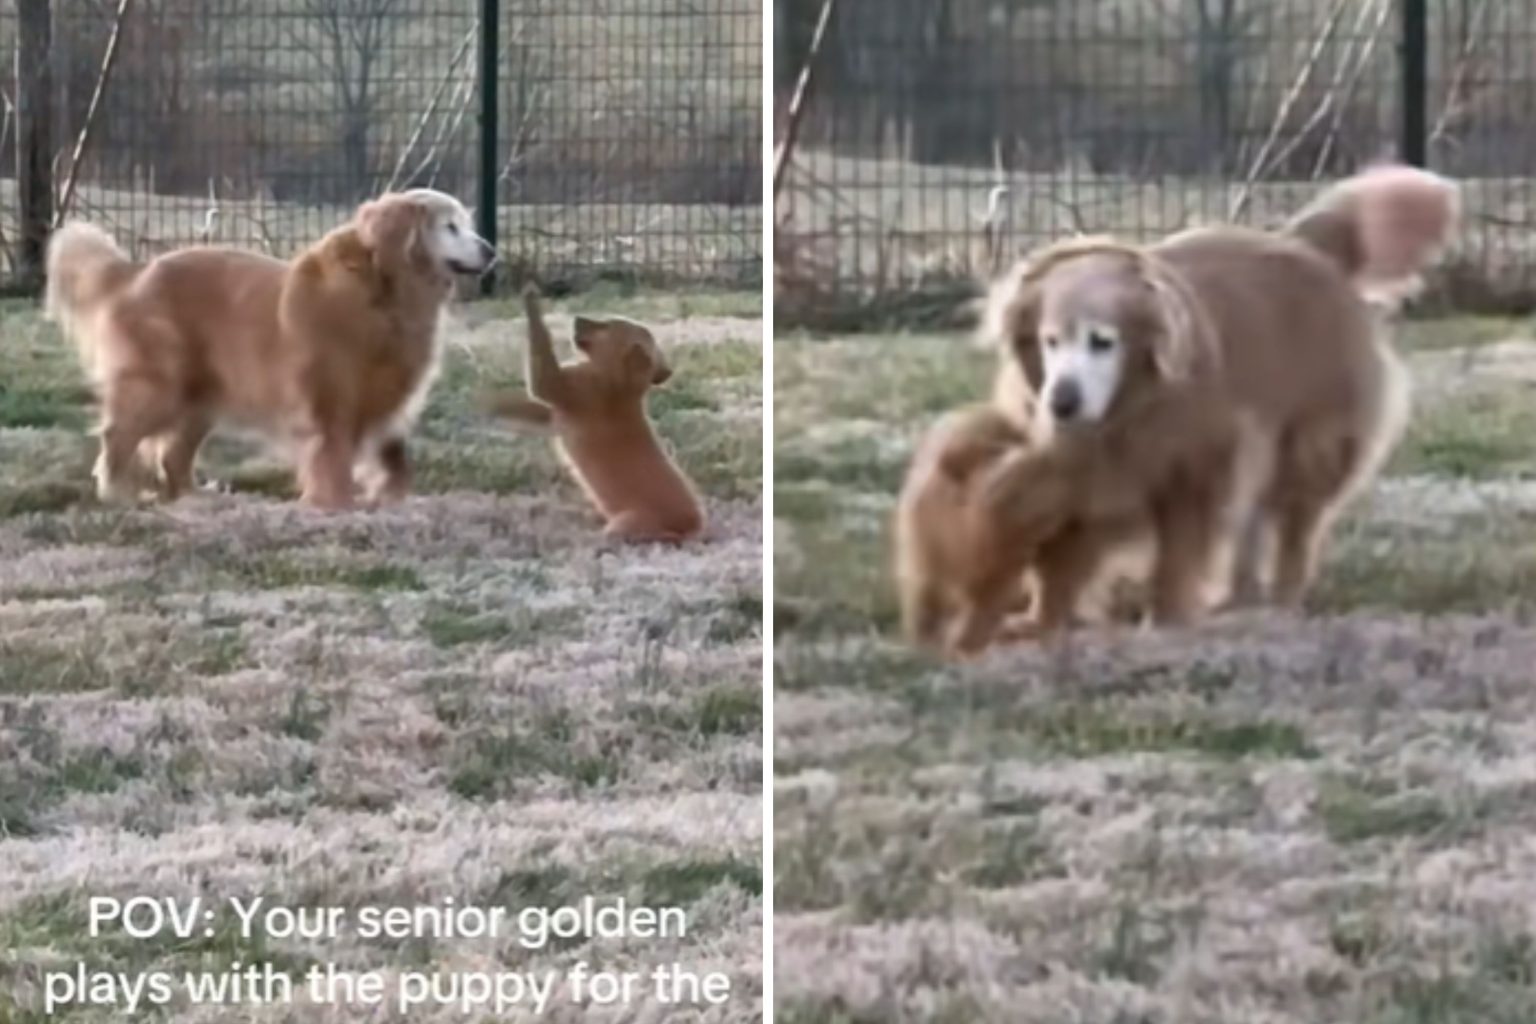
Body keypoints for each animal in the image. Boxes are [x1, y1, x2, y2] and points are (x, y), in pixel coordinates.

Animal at [43, 188, 491, 509]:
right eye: (450, 226)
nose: (490, 249)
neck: (383, 293)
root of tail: (134, 273)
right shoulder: (330, 398)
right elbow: (333, 456)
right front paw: (335, 503)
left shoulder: (385, 397)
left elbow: (393, 457)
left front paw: (391, 498)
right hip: (160, 386)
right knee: (119, 434)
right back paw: (117, 493)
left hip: (202, 396)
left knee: (173, 454)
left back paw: (195, 497)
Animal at [488, 288, 703, 543]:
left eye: (606, 325)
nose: (578, 318)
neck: (620, 383)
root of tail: (694, 526)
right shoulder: (558, 412)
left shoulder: (573, 387)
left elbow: (543, 379)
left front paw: (532, 302)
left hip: (630, 521)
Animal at [976, 164, 1456, 629]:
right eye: (1049, 341)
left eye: (1103, 341)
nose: (1062, 403)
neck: (1130, 409)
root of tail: (1304, 245)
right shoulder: (1078, 467)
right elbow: (1063, 547)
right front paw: (1041, 617)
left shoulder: (1196, 465)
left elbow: (1178, 549)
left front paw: (1166, 616)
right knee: (1251, 523)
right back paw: (1237, 597)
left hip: (1307, 442)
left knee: (1294, 526)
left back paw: (1281, 602)